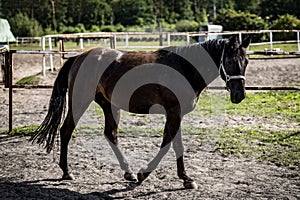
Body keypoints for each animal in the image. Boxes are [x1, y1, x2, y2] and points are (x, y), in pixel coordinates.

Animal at [30, 36, 251, 189]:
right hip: (79, 101)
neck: (183, 68)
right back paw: (66, 172)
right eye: (229, 61)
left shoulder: (174, 114)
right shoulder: (174, 112)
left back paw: (128, 172)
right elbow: (174, 145)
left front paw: (147, 174)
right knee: (66, 130)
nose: (239, 95)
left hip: (109, 106)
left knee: (110, 134)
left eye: (246, 62)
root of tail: (78, 57)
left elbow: (169, 143)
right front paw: (183, 178)